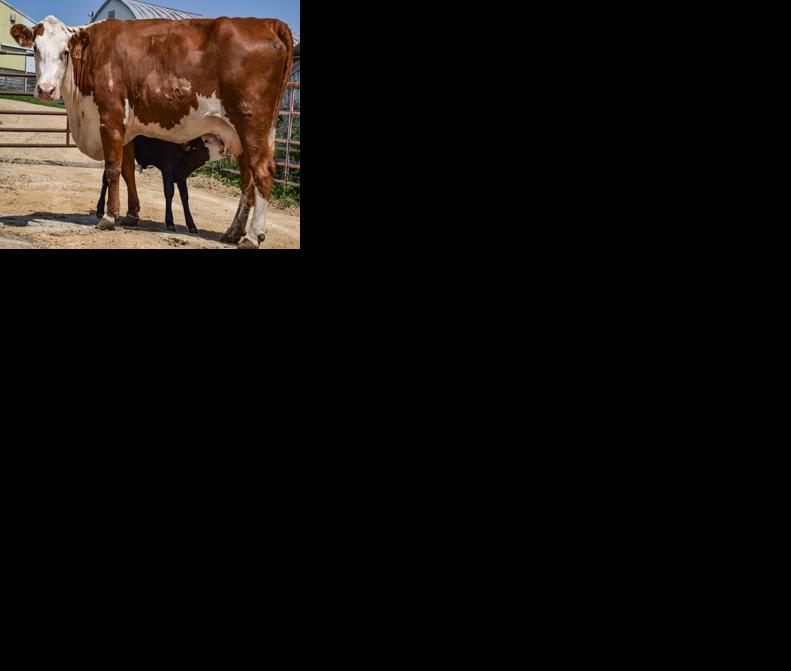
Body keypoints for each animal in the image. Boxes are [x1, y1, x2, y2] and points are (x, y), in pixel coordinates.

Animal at [96, 134, 226, 234]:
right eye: (206, 141)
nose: (223, 144)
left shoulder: (181, 175)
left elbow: (185, 197)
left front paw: (191, 225)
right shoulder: (167, 168)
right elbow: (169, 192)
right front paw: (170, 222)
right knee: (106, 178)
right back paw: (101, 209)